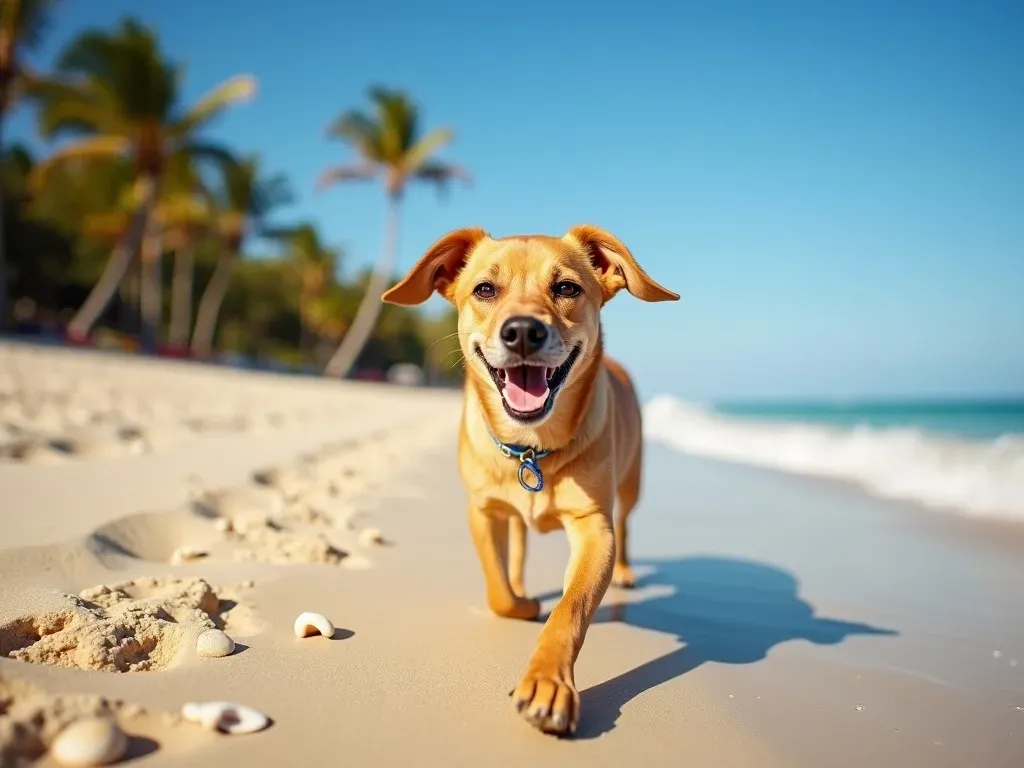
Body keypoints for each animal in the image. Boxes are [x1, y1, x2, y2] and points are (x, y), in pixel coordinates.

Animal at [380, 225, 675, 737]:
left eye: (566, 288)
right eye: (484, 289)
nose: (521, 331)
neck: (532, 447)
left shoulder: (594, 528)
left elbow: (570, 610)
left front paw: (547, 682)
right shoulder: (483, 511)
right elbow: (498, 589)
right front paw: (521, 602)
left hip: (631, 485)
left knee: (628, 523)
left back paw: (626, 573)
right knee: (516, 549)